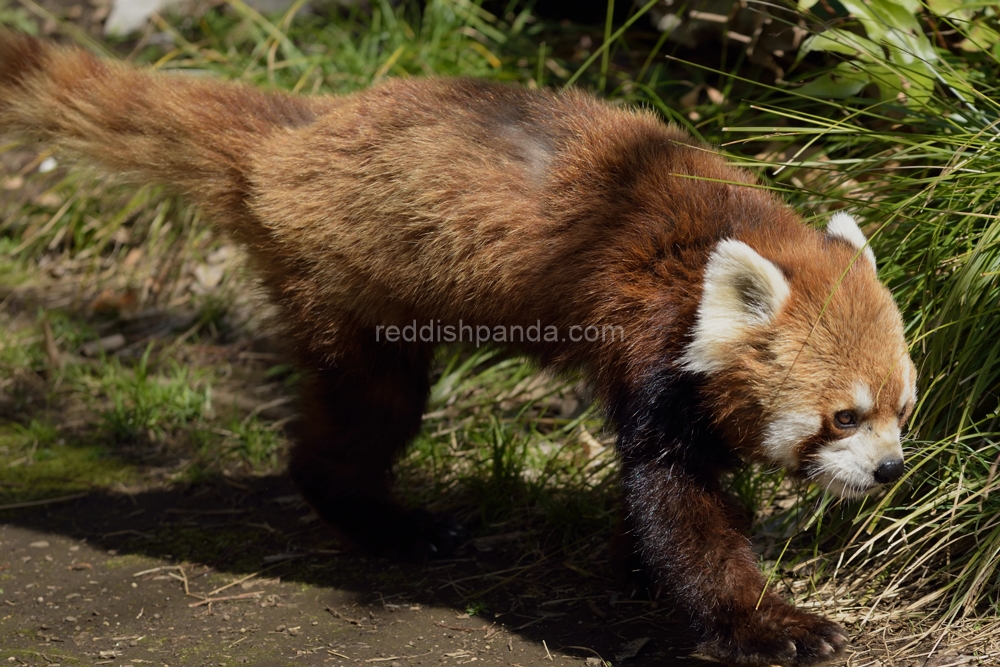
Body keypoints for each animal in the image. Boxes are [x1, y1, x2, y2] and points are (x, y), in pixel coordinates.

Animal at [0, 32, 916, 667]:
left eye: (903, 409)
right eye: (843, 416)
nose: (889, 470)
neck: (715, 239)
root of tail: (295, 139)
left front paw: (633, 565)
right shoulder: (649, 340)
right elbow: (680, 505)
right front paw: (769, 621)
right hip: (349, 288)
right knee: (368, 412)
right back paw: (385, 520)